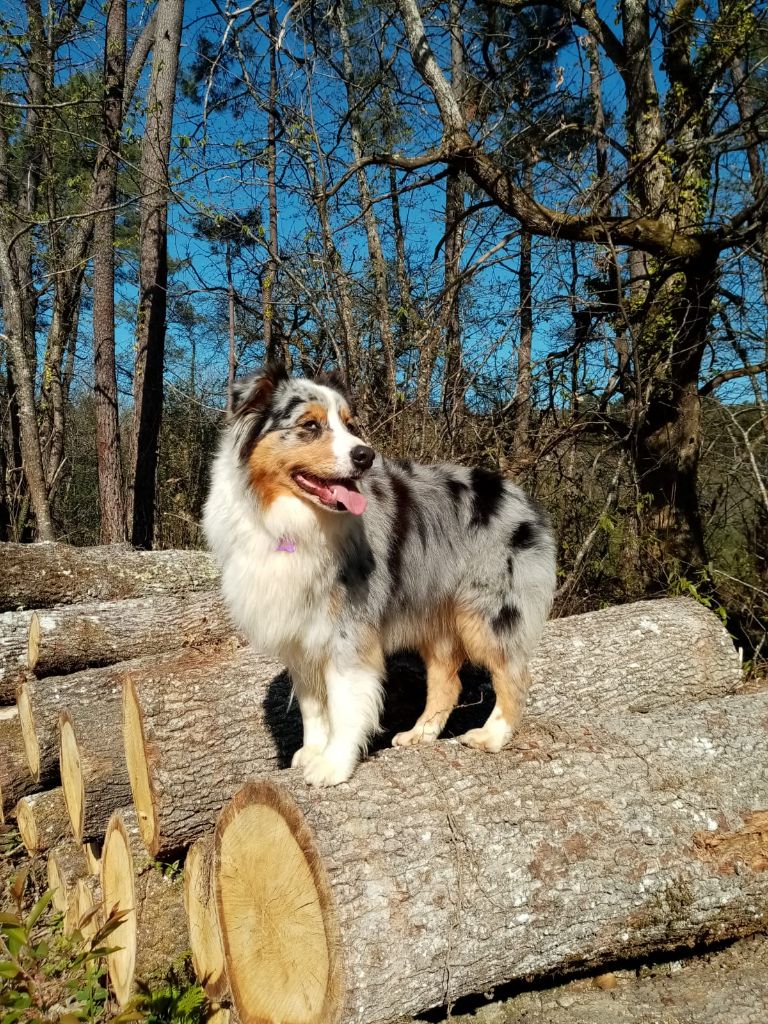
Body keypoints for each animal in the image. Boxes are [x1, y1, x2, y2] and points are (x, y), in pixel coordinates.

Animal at [201, 366, 557, 782]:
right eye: (310, 425)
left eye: (350, 425)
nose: (365, 455)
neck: (292, 520)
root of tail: (522, 497)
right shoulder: (301, 637)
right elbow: (312, 706)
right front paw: (313, 751)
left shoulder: (348, 631)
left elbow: (344, 706)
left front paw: (333, 765)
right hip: (434, 611)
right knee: (447, 678)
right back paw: (422, 733)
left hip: (487, 611)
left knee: (513, 673)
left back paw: (493, 735)